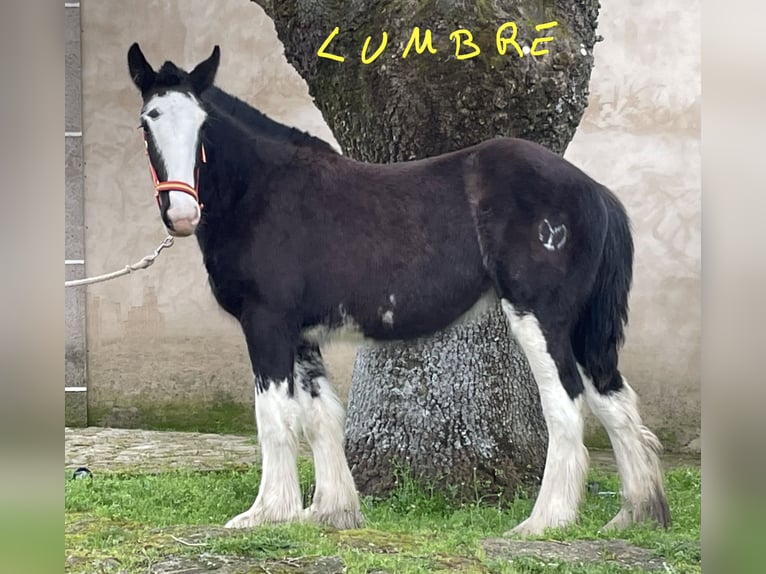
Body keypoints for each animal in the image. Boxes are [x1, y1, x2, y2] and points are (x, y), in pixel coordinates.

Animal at [126, 43, 671, 535]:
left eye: (202, 125)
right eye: (147, 121)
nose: (182, 214)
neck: (263, 191)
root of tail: (594, 191)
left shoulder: (267, 324)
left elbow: (275, 416)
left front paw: (267, 513)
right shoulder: (301, 334)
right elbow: (321, 416)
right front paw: (330, 512)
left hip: (541, 320)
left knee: (566, 405)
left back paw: (545, 521)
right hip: (582, 331)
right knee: (615, 401)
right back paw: (634, 516)